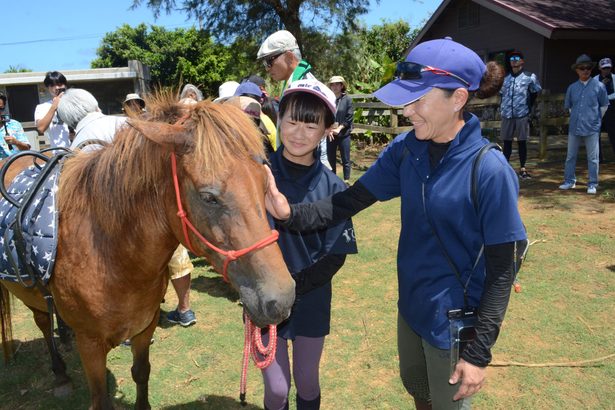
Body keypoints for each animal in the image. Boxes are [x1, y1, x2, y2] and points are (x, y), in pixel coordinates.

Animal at [0, 97, 296, 410]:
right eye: (208, 197)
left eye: (265, 185)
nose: (282, 297)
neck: (112, 257)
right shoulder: (90, 344)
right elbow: (100, 398)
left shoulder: (145, 328)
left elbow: (141, 373)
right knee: (43, 322)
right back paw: (59, 373)